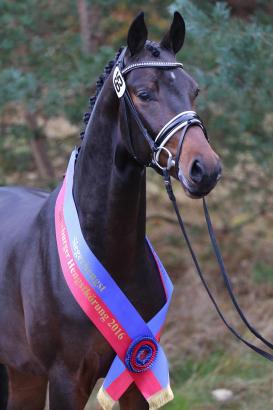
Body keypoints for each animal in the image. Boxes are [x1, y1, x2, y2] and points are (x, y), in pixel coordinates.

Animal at [0, 11, 221, 408]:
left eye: (193, 90)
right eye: (145, 93)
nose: (204, 169)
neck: (107, 251)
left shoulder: (135, 375)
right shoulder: (66, 379)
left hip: (22, 373)